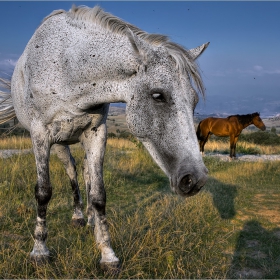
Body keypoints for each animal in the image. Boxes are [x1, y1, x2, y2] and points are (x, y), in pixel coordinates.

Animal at [0, 4, 209, 272]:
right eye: (158, 95)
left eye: (194, 101)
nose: (195, 180)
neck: (68, 68)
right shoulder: (40, 135)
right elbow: (43, 191)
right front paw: (39, 251)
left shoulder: (97, 132)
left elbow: (99, 195)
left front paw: (107, 254)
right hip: (58, 145)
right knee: (72, 170)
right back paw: (78, 216)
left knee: (86, 174)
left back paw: (88, 220)